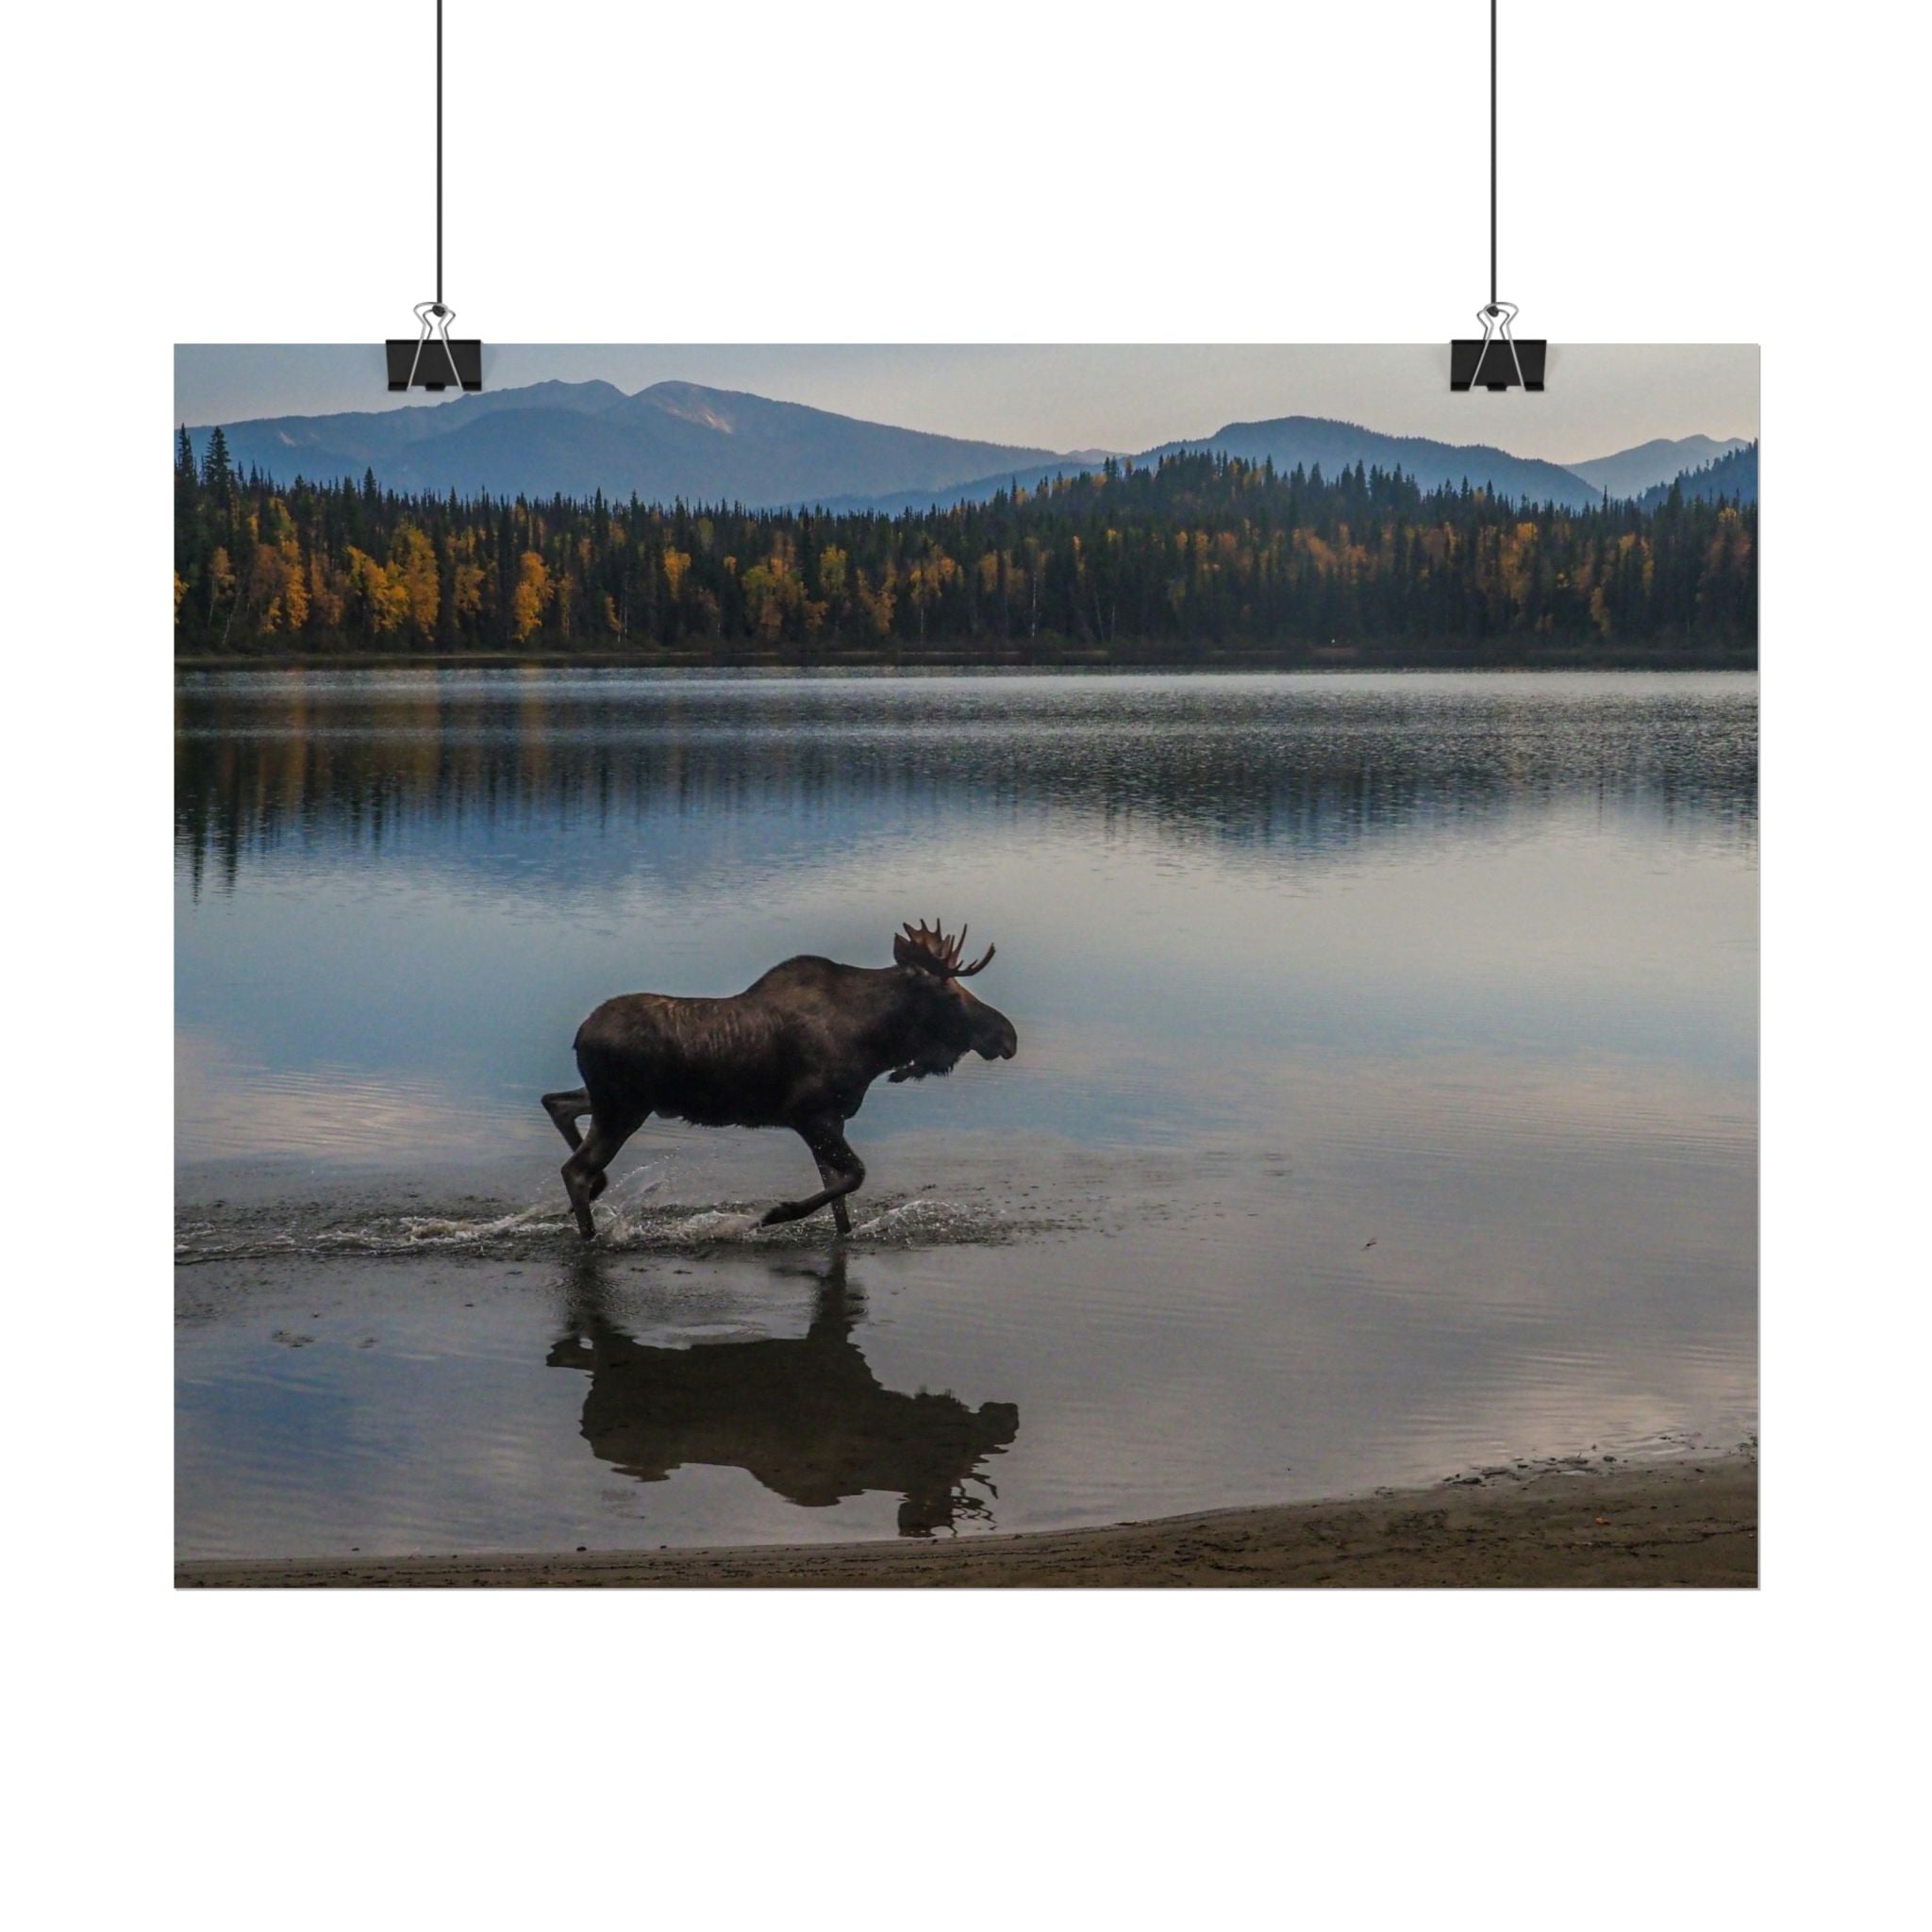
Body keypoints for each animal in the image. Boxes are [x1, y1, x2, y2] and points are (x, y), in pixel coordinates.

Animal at [542, 919, 1018, 1240]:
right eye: (950, 993)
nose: (1007, 1035)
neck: (875, 1044)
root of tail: (579, 1035)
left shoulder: (832, 1119)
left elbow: (840, 1198)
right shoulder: (809, 1114)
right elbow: (855, 1176)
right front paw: (776, 1214)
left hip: (616, 1101)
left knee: (557, 1103)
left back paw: (600, 1190)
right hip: (622, 1108)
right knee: (575, 1169)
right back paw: (590, 1232)